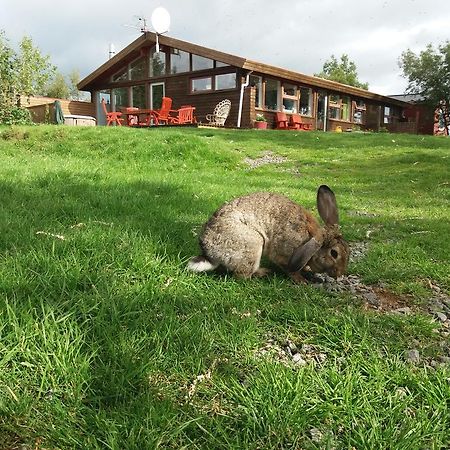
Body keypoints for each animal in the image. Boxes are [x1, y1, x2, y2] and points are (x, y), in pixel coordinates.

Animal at [186, 185, 348, 284]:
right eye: (334, 253)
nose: (339, 274)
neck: (310, 238)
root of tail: (209, 254)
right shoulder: (285, 252)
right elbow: (288, 267)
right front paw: (302, 281)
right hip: (253, 244)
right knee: (242, 276)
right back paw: (263, 273)